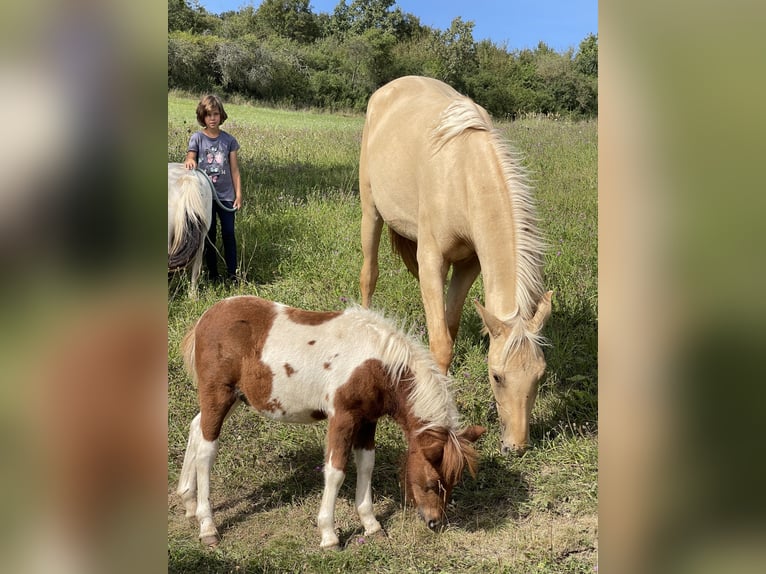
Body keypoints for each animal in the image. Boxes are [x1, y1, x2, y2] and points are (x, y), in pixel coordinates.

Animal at [177, 296, 484, 548]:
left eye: (454, 481)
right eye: (431, 483)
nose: (435, 523)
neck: (378, 365)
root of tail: (208, 316)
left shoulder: (367, 420)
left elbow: (366, 465)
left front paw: (371, 525)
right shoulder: (342, 417)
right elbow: (336, 471)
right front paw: (329, 535)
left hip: (236, 398)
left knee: (196, 429)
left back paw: (188, 501)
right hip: (218, 394)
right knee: (206, 452)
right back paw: (208, 526)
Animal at [360, 75, 552, 454]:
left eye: (539, 375)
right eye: (496, 376)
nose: (516, 446)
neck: (463, 174)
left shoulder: (468, 265)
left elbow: (448, 324)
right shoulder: (433, 258)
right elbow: (441, 343)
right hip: (370, 211)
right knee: (368, 275)